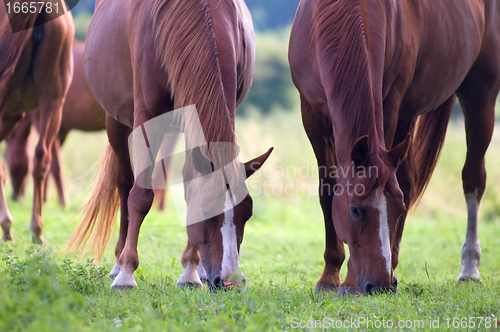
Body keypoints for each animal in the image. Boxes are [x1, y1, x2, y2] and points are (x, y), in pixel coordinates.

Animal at [67, 0, 274, 290]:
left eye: (248, 214)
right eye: (207, 212)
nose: (230, 281)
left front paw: (189, 270)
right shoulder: (145, 120)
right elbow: (140, 196)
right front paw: (126, 273)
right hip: (116, 123)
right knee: (123, 183)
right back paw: (118, 263)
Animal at [290, 0, 500, 296]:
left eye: (398, 210)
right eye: (355, 210)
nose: (380, 285)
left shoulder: (389, 106)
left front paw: (350, 282)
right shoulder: (310, 115)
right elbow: (328, 192)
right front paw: (329, 277)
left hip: (480, 96)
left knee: (473, 179)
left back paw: (469, 268)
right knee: (409, 180)